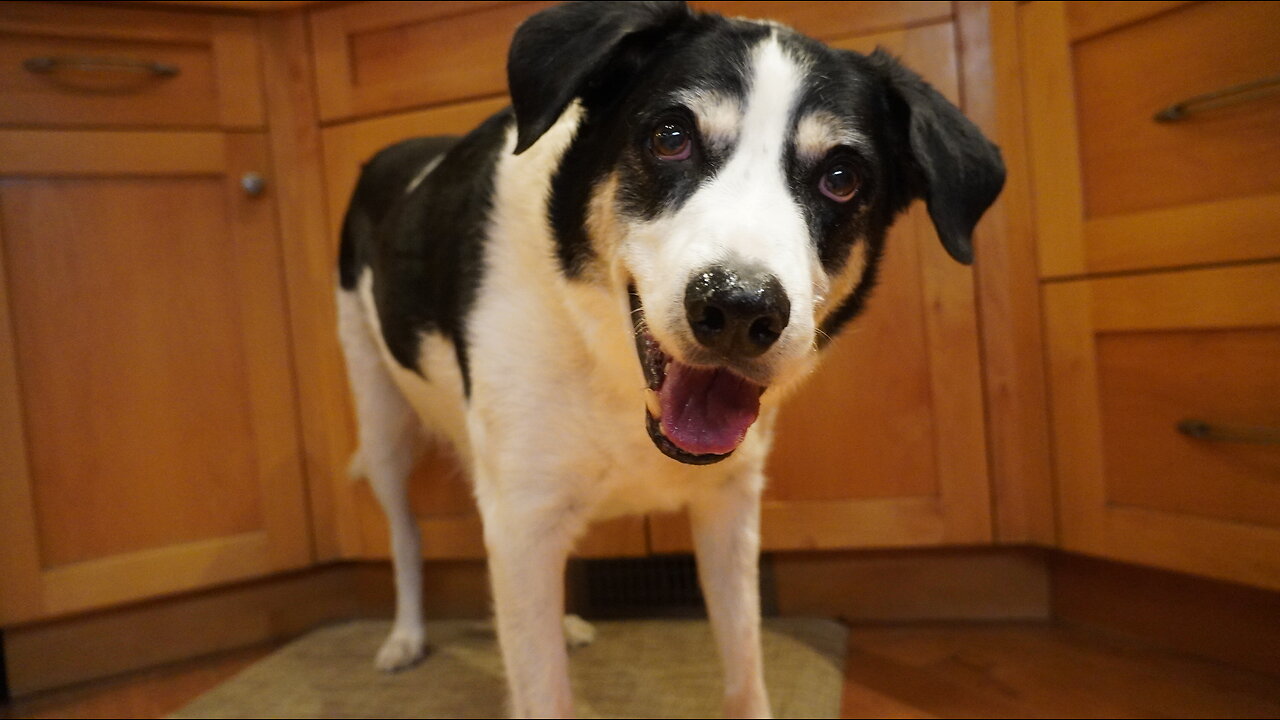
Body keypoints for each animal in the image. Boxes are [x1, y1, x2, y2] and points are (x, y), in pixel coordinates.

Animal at [337, 4, 998, 712]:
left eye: (842, 179)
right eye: (671, 137)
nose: (738, 308)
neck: (612, 366)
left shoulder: (728, 506)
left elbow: (744, 665)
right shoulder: (523, 510)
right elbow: (541, 686)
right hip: (380, 415)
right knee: (405, 533)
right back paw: (405, 637)